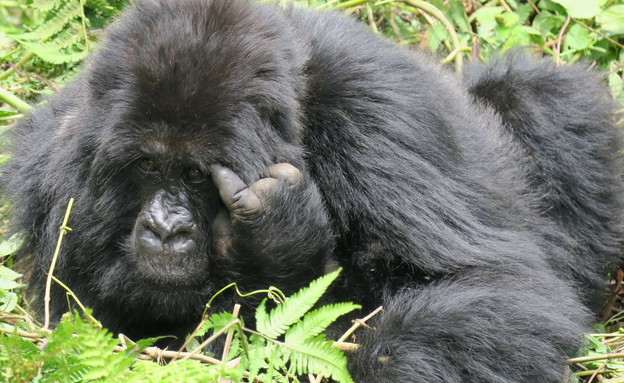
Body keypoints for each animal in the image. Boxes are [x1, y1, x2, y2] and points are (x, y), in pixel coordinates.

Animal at [2, 0, 620, 383]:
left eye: (197, 176)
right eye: (148, 166)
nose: (164, 228)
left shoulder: (378, 112)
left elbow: (493, 284)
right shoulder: (59, 163)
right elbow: (88, 316)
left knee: (538, 95)